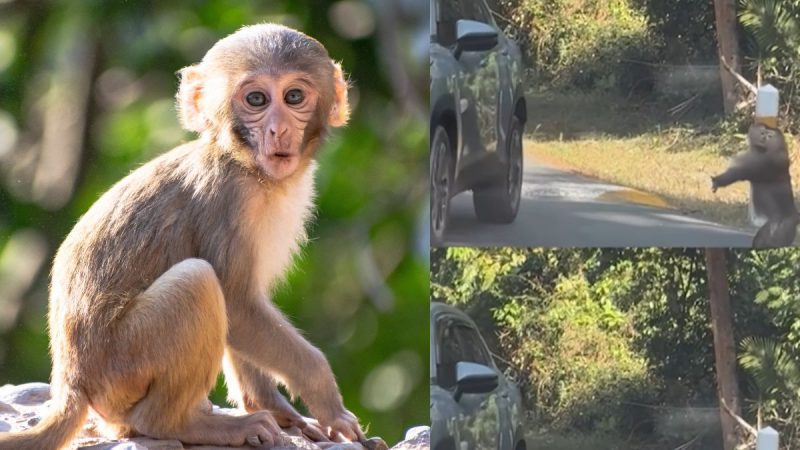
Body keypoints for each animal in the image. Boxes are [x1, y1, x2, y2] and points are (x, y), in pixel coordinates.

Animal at [0, 24, 366, 450]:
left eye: (294, 97)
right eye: (256, 99)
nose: (279, 129)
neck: (246, 165)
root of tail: (72, 382)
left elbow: (245, 312)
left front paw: (279, 410)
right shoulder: (227, 201)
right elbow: (238, 304)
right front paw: (327, 400)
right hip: (123, 362)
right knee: (198, 281)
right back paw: (182, 424)